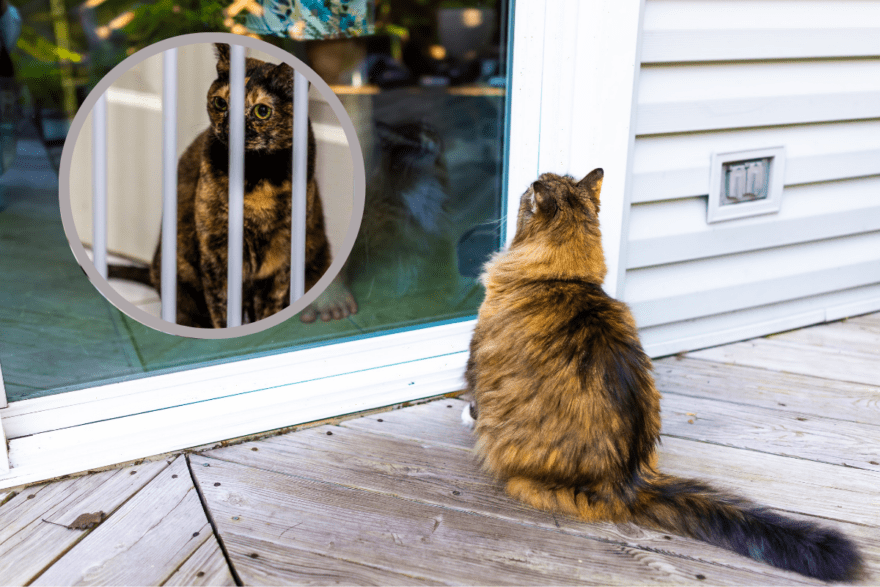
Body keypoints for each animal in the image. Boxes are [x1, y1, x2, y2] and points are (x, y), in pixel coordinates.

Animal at [464, 170, 864, 584]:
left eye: (533, 188)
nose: (531, 180)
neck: (563, 279)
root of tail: (628, 481)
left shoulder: (478, 361)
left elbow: (473, 398)